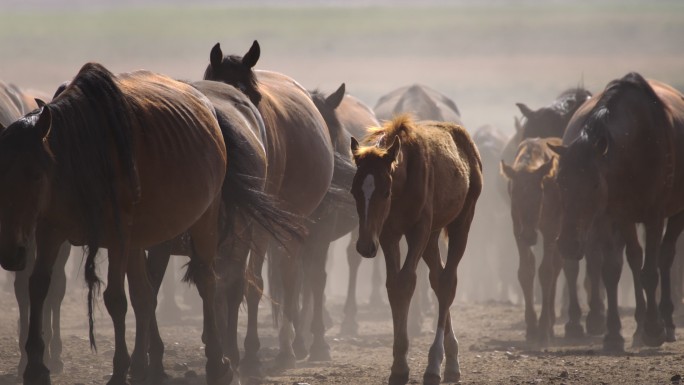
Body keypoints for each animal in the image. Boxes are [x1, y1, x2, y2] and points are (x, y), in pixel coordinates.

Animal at [0, 63, 231, 384]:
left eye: (35, 175)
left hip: (204, 221)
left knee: (207, 282)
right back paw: (145, 367)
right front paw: (36, 367)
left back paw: (217, 361)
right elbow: (39, 286)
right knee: (145, 297)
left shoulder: (117, 240)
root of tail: (208, 108)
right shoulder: (50, 231)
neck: (81, 156)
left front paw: (119, 369)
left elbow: (115, 299)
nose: (11, 254)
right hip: (139, 240)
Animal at [203, 41, 334, 372]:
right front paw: (218, 345)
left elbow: (253, 284)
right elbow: (220, 282)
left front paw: (249, 352)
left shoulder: (257, 225)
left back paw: (293, 346)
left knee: (290, 276)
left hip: (290, 224)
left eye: (254, 97)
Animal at [350, 115, 484, 384]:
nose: (365, 245)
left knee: (448, 282)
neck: (404, 180)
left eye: (385, 191)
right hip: (432, 237)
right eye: (354, 191)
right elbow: (394, 285)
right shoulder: (389, 234)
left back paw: (436, 364)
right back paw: (451, 359)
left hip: (460, 223)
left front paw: (405, 366)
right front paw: (398, 365)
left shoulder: (418, 230)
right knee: (439, 279)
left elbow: (406, 282)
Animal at [552, 71, 684, 344]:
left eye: (594, 183)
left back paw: (665, 321)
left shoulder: (654, 217)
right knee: (634, 260)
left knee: (665, 257)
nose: (568, 244)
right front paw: (614, 333)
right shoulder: (616, 217)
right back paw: (639, 325)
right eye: (560, 181)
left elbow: (650, 271)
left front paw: (654, 328)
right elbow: (612, 270)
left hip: (676, 213)